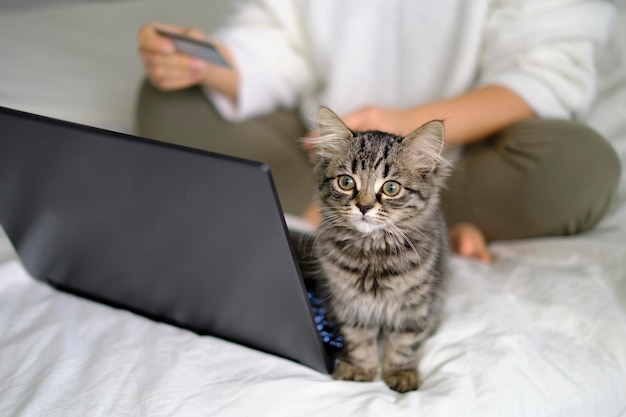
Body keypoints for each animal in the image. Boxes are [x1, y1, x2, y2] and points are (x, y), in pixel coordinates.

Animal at [308, 105, 446, 392]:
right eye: (347, 182)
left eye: (391, 188)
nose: (363, 206)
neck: (372, 252)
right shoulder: (350, 305)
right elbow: (359, 340)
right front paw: (361, 369)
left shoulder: (413, 307)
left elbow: (404, 344)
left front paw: (401, 373)